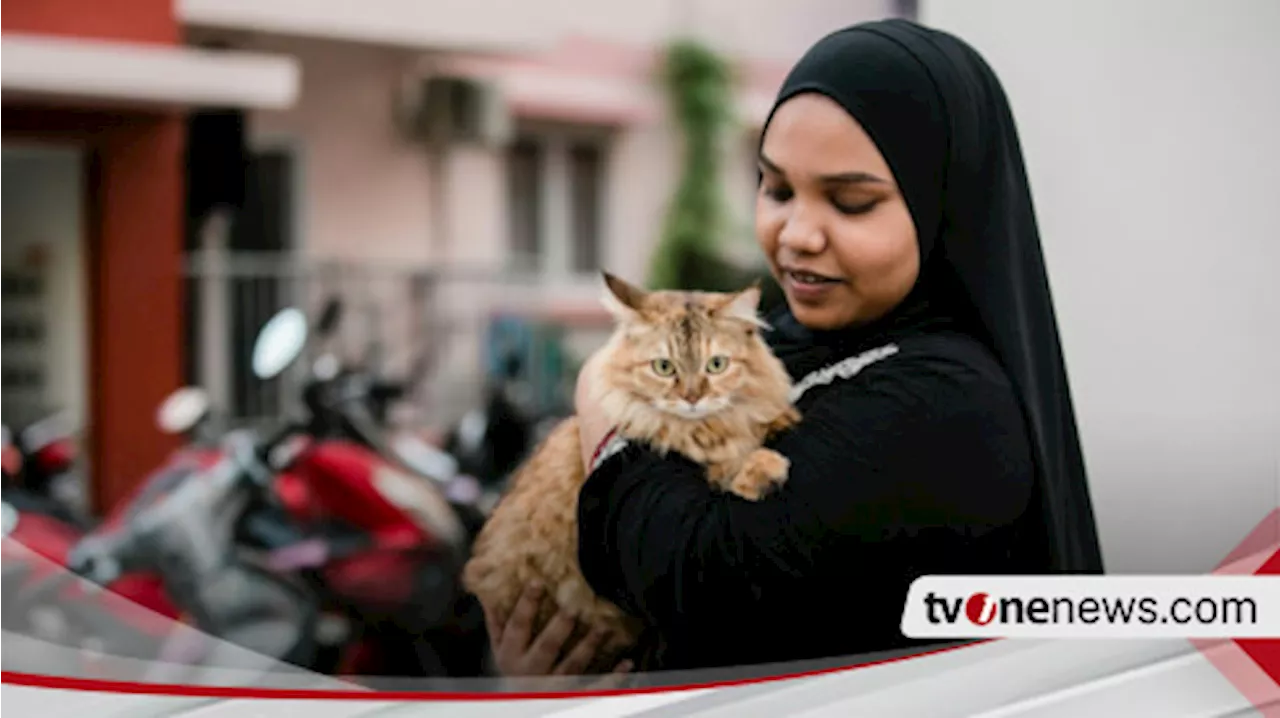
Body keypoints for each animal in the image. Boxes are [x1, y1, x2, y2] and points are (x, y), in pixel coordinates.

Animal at [460, 270, 798, 665]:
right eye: (664, 367)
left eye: (716, 364)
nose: (692, 398)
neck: (703, 427)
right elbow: (723, 462)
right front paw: (761, 468)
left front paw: (777, 419)